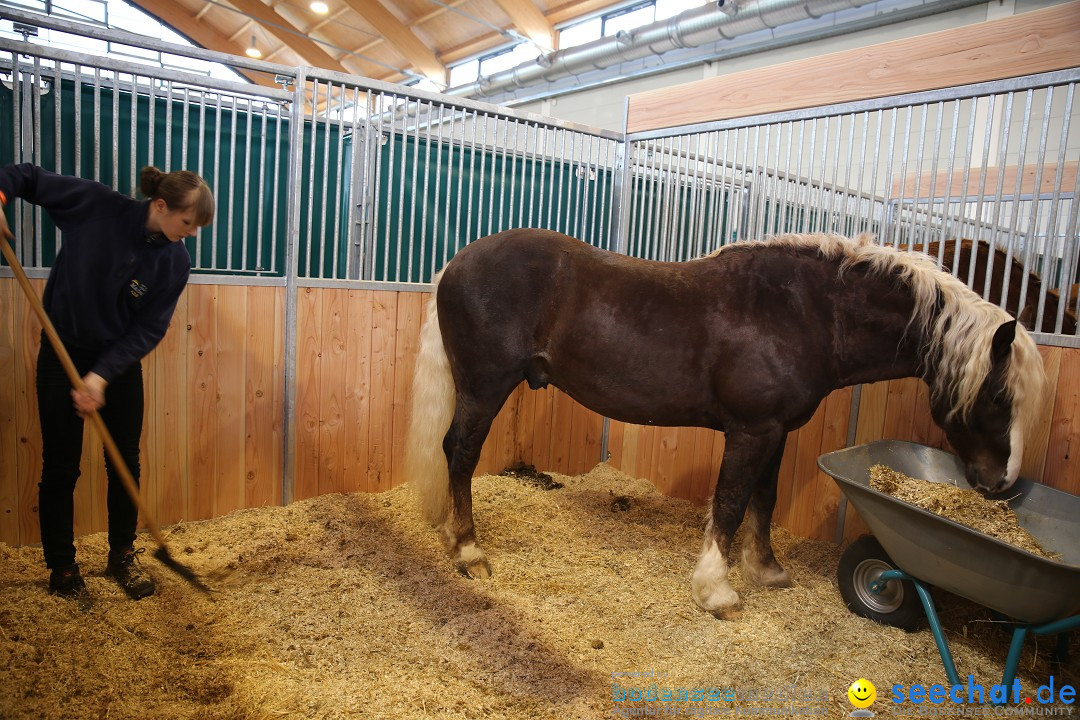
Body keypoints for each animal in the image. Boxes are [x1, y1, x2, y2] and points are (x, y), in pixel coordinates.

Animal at [406, 229, 1045, 621]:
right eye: (997, 394)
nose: (1002, 483)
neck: (806, 311)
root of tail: (456, 264)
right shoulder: (750, 430)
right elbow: (731, 503)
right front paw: (718, 591)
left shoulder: (778, 430)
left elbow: (765, 497)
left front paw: (767, 571)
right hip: (485, 389)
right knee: (460, 454)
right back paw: (467, 551)